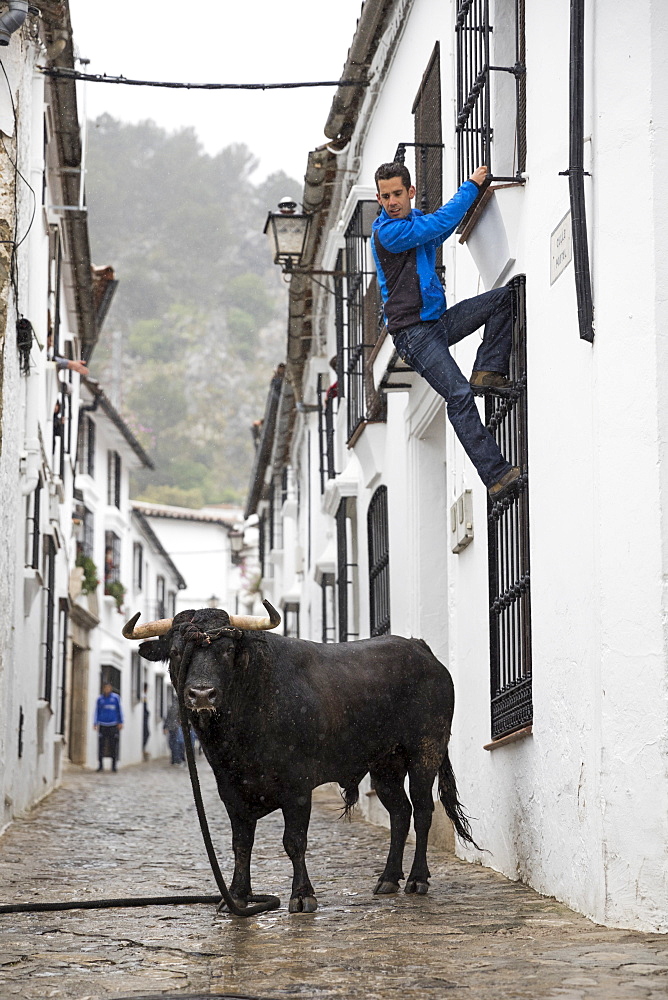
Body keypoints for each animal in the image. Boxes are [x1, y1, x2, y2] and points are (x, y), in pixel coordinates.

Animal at [132, 604, 474, 912]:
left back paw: (418, 879)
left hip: (425, 753)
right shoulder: (231, 791)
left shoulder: (296, 788)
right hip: (385, 765)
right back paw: (388, 878)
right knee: (400, 813)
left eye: (227, 650)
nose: (202, 694)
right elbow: (241, 843)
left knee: (423, 810)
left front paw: (302, 895)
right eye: (176, 652)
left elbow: (294, 841)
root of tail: (421, 650)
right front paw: (237, 896)